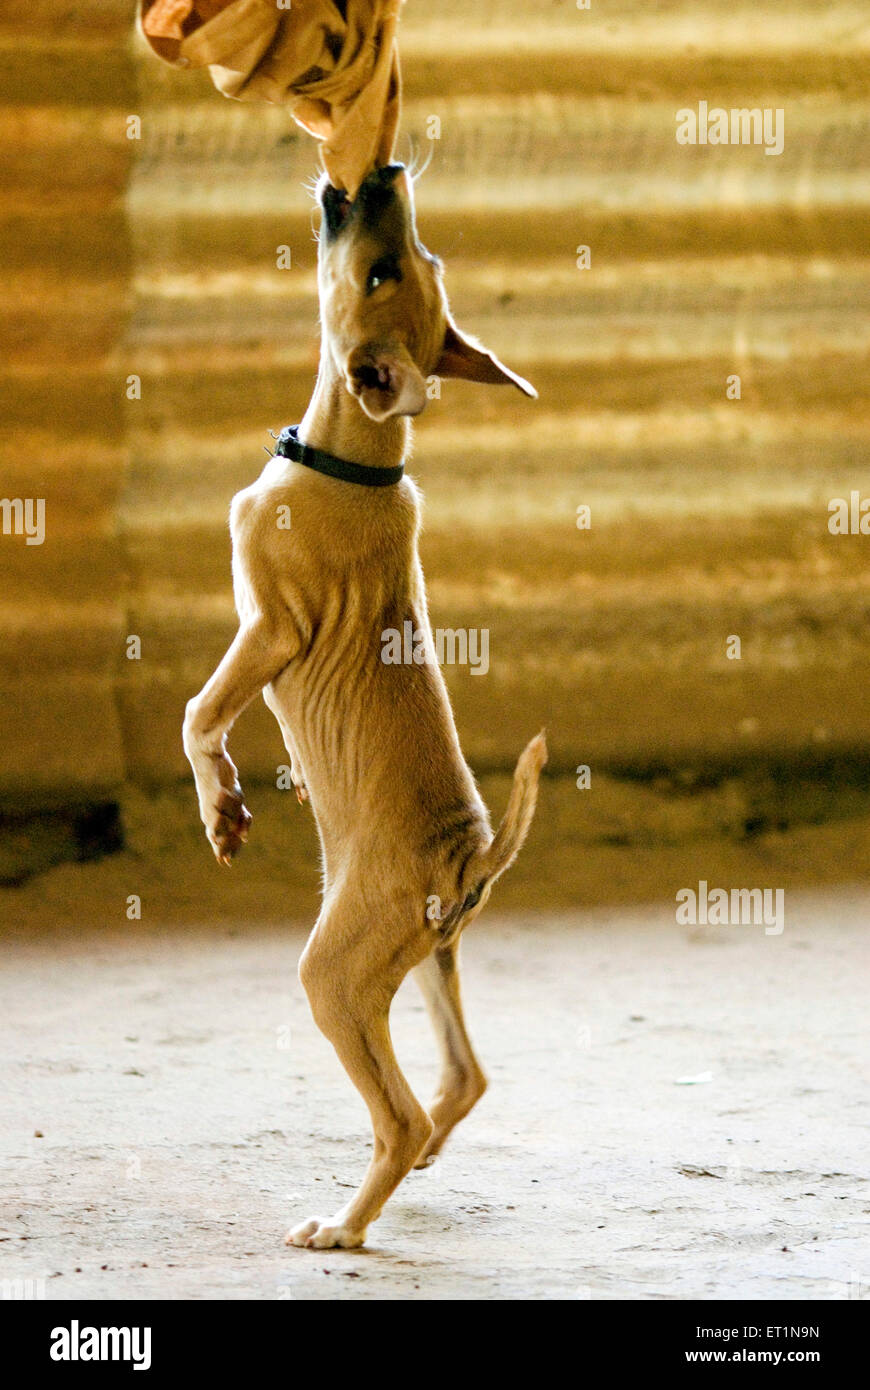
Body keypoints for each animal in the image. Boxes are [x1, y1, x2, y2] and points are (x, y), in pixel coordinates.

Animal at [180, 162, 542, 1251]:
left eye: (385, 270)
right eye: (422, 259)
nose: (382, 171)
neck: (362, 455)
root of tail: (472, 855)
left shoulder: (269, 630)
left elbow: (200, 715)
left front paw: (221, 807)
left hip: (335, 975)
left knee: (403, 1109)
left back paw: (343, 1225)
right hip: (426, 959)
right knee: (462, 1080)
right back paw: (408, 1170)